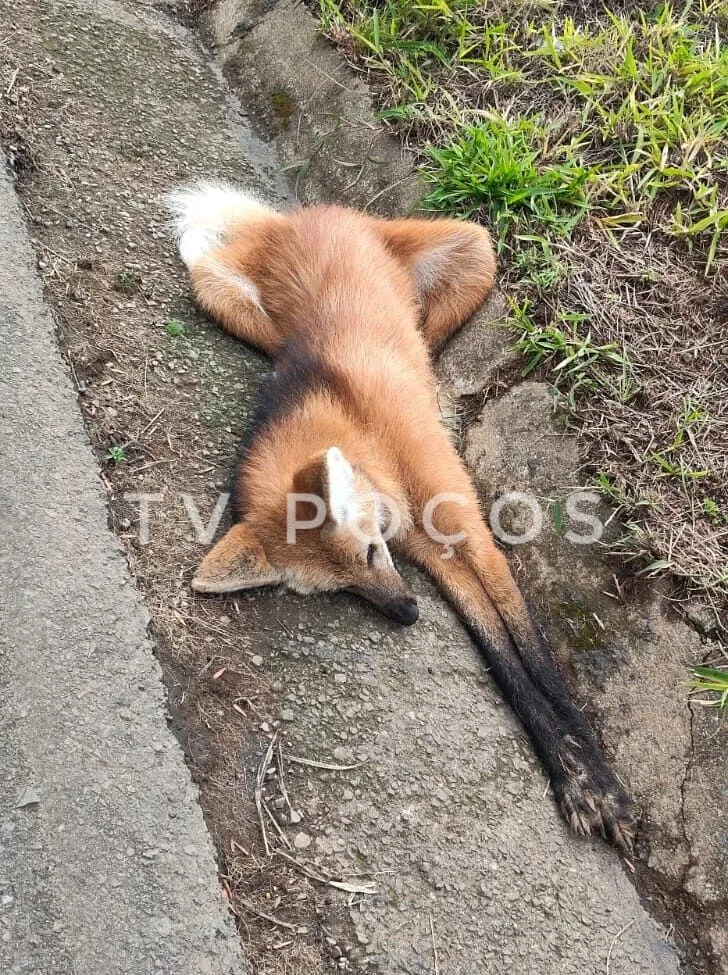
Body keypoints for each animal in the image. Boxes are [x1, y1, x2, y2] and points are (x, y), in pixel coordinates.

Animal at [165, 182, 634, 848]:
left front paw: (601, 787)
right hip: (221, 295)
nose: (407, 614)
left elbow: (534, 654)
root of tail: (288, 222)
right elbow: (500, 657)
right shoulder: (424, 546)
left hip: (472, 251)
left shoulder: (463, 526)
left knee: (429, 325)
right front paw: (573, 778)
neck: (361, 430)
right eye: (340, 591)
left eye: (366, 554)